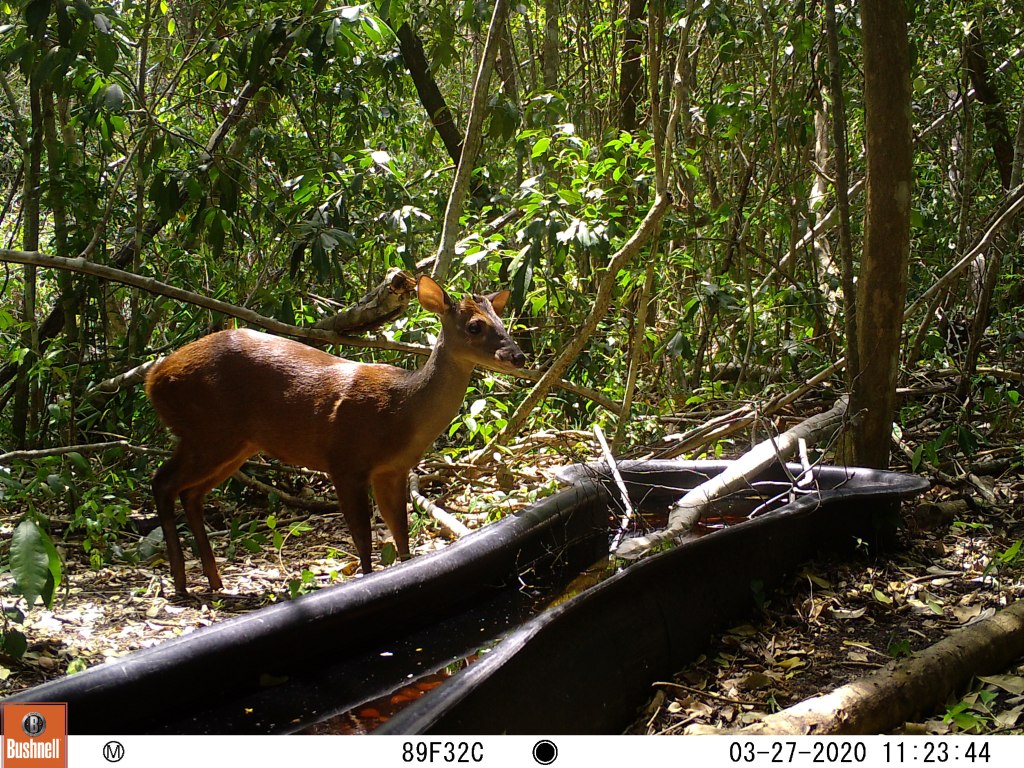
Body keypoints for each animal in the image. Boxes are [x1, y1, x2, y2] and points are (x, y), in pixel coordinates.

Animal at [145, 275, 526, 595]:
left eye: (501, 321)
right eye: (475, 326)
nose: (519, 356)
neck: (401, 412)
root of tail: (153, 380)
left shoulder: (392, 471)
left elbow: (401, 539)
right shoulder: (345, 462)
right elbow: (364, 544)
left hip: (233, 444)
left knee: (190, 494)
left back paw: (213, 580)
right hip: (208, 431)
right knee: (162, 482)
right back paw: (181, 585)